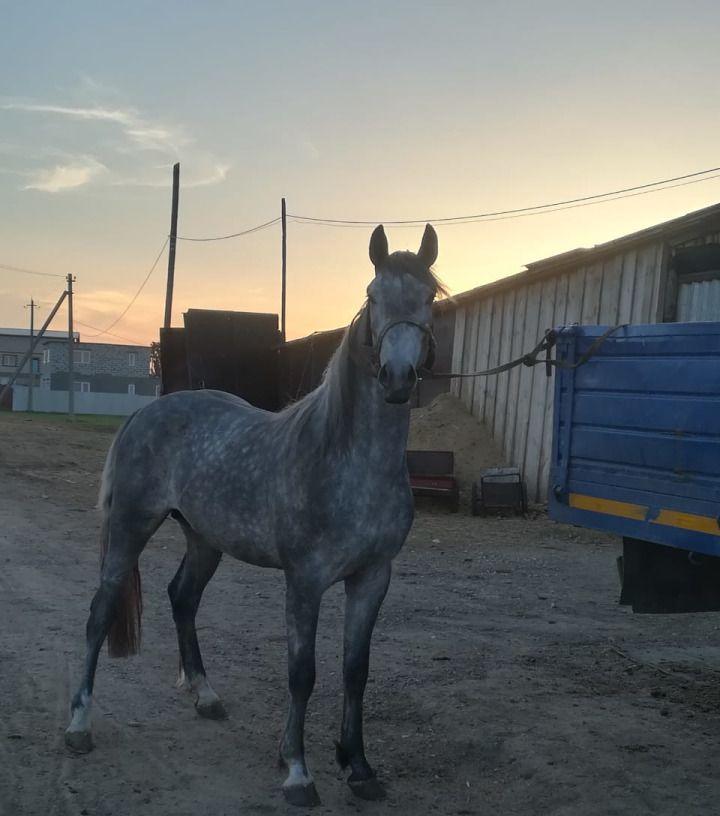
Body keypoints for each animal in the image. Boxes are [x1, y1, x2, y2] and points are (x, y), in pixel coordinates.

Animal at [64, 222, 444, 804]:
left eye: (429, 297)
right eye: (372, 295)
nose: (397, 377)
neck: (347, 459)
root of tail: (145, 413)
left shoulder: (373, 577)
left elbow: (355, 671)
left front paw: (358, 767)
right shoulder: (305, 580)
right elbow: (303, 672)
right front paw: (297, 771)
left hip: (204, 539)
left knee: (182, 598)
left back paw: (206, 696)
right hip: (131, 528)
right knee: (99, 613)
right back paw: (79, 726)